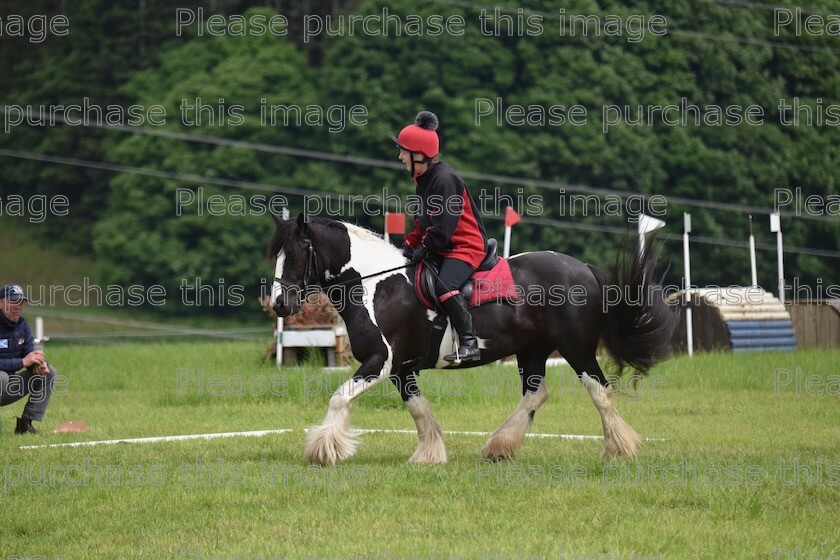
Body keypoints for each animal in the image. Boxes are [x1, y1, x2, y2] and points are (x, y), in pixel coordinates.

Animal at [270, 212, 676, 466]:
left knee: (600, 391)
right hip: (533, 350)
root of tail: (585, 270)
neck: (377, 285)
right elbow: (418, 409)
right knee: (535, 394)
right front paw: (428, 454)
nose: (279, 304)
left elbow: (339, 398)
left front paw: (323, 450)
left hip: (576, 350)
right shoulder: (402, 368)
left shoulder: (379, 363)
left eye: (298, 253)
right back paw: (500, 446)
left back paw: (617, 449)